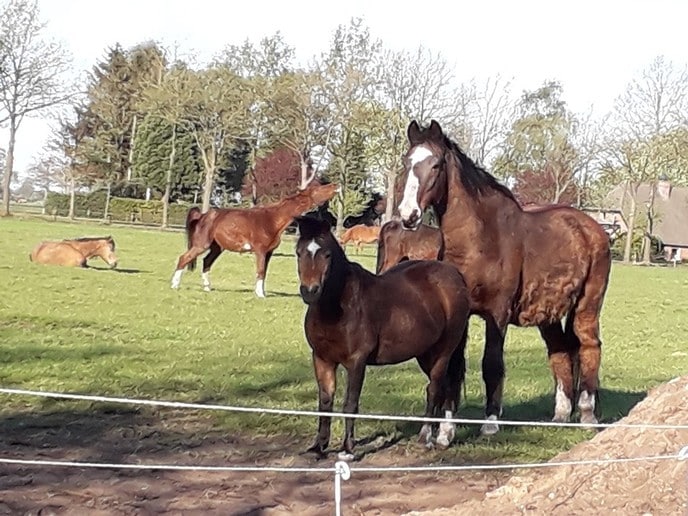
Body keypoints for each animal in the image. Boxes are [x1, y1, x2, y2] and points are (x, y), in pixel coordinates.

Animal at [171, 182, 338, 297]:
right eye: (317, 188)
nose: (335, 185)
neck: (272, 220)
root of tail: (203, 216)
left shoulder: (268, 252)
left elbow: (263, 272)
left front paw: (260, 292)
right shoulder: (260, 251)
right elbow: (260, 270)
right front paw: (260, 295)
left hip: (217, 247)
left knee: (206, 262)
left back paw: (207, 288)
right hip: (201, 245)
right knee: (184, 258)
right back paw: (174, 285)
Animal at [294, 216, 470, 460]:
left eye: (327, 254)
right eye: (299, 252)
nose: (310, 291)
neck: (339, 307)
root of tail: (455, 277)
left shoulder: (356, 362)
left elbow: (350, 404)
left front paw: (347, 450)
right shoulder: (322, 359)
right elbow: (325, 402)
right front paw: (319, 447)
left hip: (444, 351)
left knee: (435, 388)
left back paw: (426, 438)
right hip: (426, 353)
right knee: (444, 388)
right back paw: (442, 436)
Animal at [398, 120, 611, 434]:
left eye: (435, 165)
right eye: (407, 162)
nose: (408, 215)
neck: (481, 240)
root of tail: (593, 228)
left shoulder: (496, 314)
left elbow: (492, 364)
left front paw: (490, 422)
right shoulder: (461, 315)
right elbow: (454, 367)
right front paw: (446, 428)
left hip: (588, 304)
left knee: (589, 346)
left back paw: (586, 414)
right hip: (547, 313)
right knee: (560, 350)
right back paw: (561, 414)